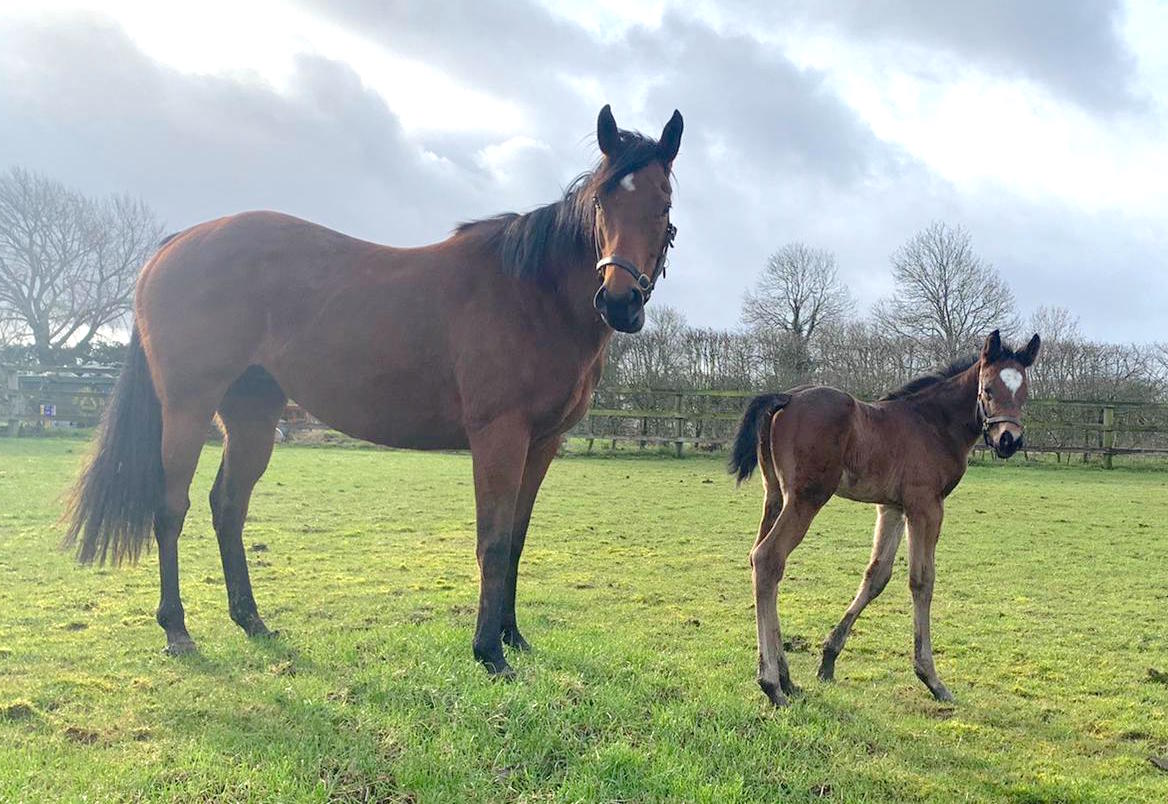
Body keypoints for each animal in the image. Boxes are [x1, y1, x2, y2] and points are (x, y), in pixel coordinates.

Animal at [63, 103, 682, 673]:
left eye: (664, 205)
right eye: (601, 202)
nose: (620, 302)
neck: (531, 293)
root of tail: (173, 245)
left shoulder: (543, 443)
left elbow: (516, 539)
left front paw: (512, 638)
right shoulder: (498, 437)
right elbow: (492, 539)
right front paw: (488, 653)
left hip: (252, 418)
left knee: (228, 506)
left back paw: (253, 621)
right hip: (188, 409)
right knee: (171, 507)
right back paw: (178, 630)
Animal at [728, 329, 1041, 705]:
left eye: (1024, 393)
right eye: (989, 389)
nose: (1009, 440)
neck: (933, 424)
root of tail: (787, 397)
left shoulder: (892, 507)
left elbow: (877, 576)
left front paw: (828, 660)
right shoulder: (926, 506)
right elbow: (922, 580)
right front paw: (931, 678)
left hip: (774, 496)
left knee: (758, 559)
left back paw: (787, 678)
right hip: (806, 497)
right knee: (768, 558)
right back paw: (772, 685)